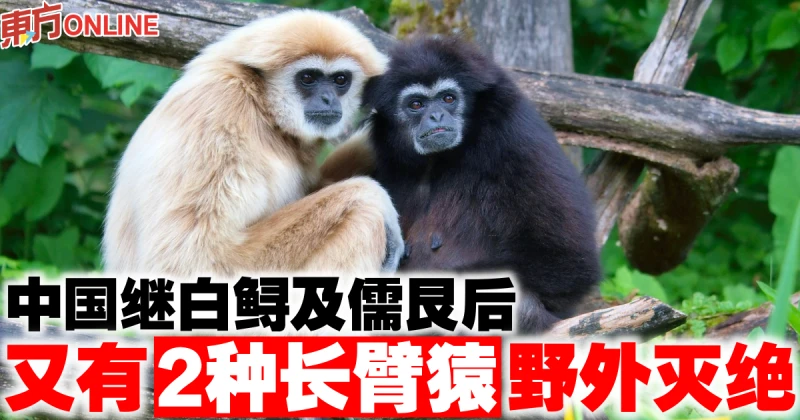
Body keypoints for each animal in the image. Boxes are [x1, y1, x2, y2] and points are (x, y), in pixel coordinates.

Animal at [102, 10, 404, 277]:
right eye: (308, 77)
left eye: (341, 79)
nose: (329, 99)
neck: (260, 105)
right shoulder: (216, 117)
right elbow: (194, 260)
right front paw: (373, 194)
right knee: (364, 218)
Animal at [344, 36, 603, 333]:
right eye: (416, 104)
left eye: (448, 98)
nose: (436, 116)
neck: (440, 159)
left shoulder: (515, 134)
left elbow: (567, 260)